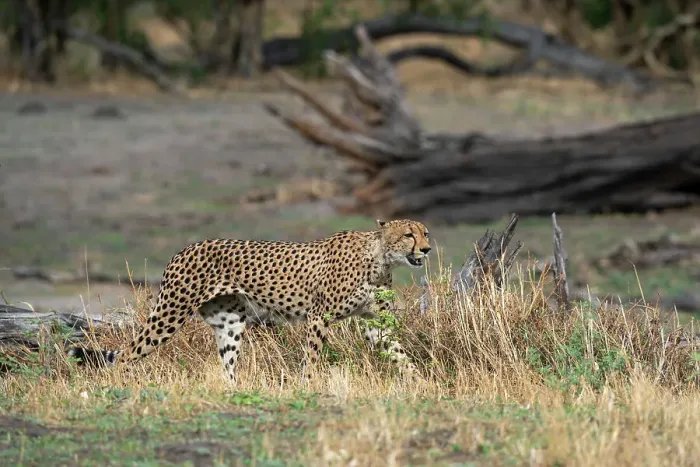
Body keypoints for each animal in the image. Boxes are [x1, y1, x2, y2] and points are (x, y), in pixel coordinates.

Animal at [67, 219, 432, 384]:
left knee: (227, 366)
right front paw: (309, 386)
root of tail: (184, 248)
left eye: (425, 233)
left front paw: (419, 383)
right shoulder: (318, 317)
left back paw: (234, 392)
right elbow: (312, 358)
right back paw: (119, 386)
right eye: (409, 234)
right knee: (128, 353)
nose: (427, 249)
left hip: (230, 323)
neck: (381, 258)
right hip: (169, 314)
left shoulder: (374, 323)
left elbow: (400, 353)